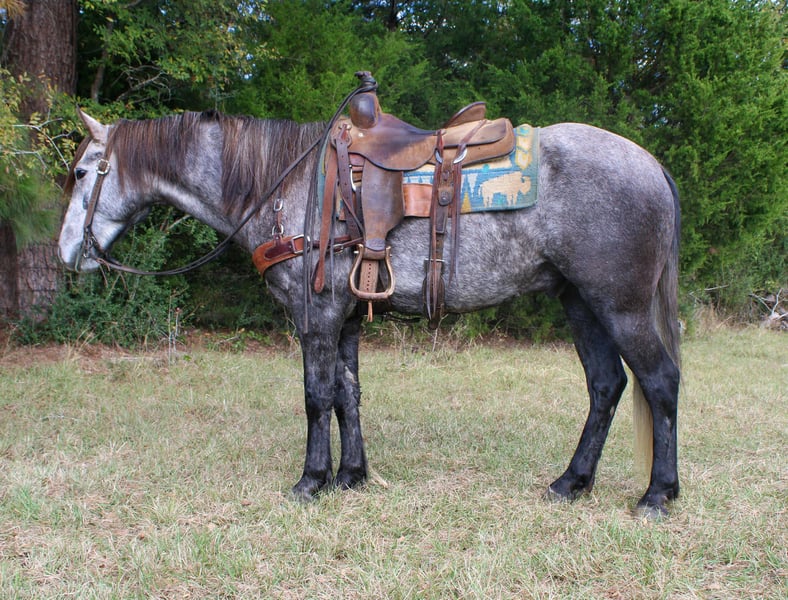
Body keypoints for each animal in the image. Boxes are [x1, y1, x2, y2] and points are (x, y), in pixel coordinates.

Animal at [58, 102, 681, 518]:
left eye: (83, 172)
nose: (67, 255)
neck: (286, 186)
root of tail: (651, 164)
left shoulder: (316, 314)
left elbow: (316, 397)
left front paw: (311, 480)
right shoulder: (347, 318)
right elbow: (347, 395)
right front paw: (351, 475)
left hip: (620, 306)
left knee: (660, 382)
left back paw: (657, 494)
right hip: (582, 304)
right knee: (606, 386)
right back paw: (571, 482)